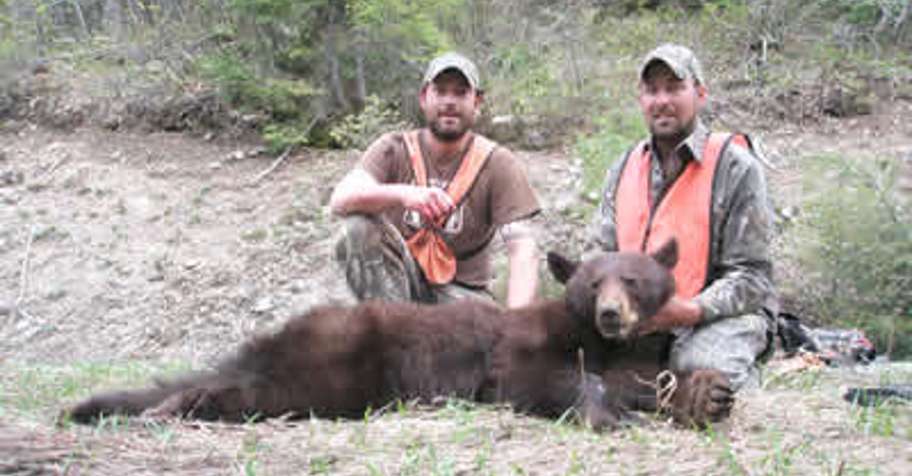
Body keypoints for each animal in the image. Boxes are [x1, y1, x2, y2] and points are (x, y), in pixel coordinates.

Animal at [63, 239, 732, 430]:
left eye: (634, 279)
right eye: (594, 285)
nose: (612, 313)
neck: (597, 342)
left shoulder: (626, 354)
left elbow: (645, 378)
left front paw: (705, 393)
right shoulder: (518, 347)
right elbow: (534, 376)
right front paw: (605, 413)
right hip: (334, 361)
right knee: (255, 389)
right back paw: (162, 409)